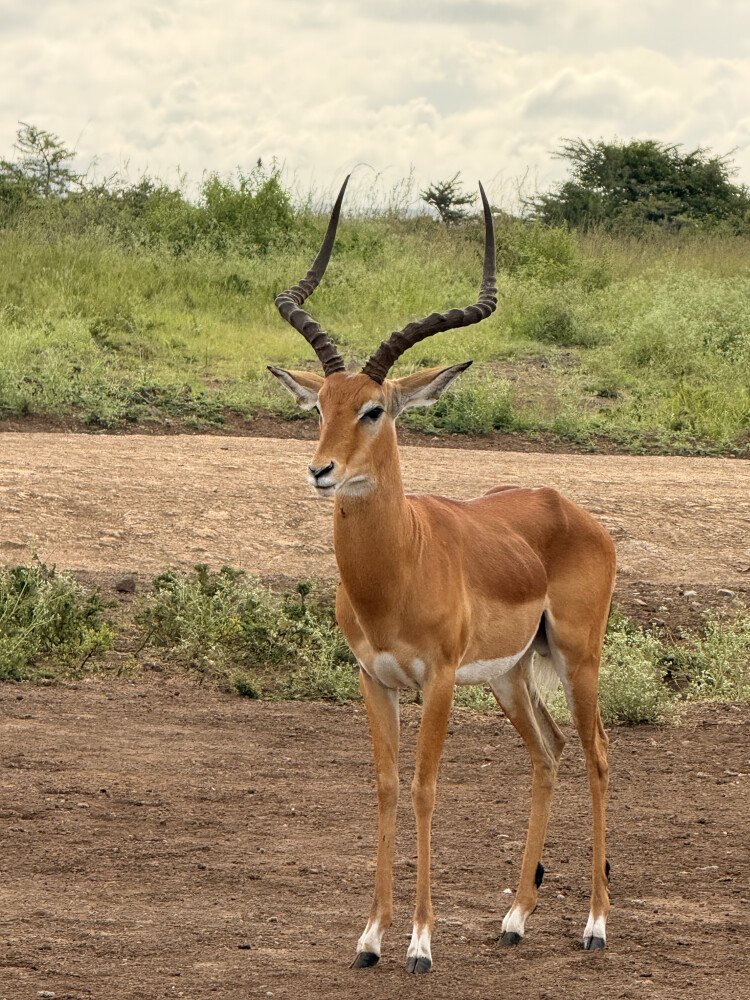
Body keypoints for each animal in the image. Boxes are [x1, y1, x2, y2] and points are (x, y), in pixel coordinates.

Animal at [268, 177, 616, 973]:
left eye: (374, 409)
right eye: (319, 406)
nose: (321, 471)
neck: (399, 568)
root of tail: (565, 505)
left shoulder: (440, 680)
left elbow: (427, 788)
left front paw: (422, 943)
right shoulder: (376, 679)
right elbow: (387, 788)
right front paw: (370, 937)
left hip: (575, 657)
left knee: (596, 756)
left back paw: (594, 924)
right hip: (512, 674)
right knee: (548, 753)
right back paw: (515, 917)